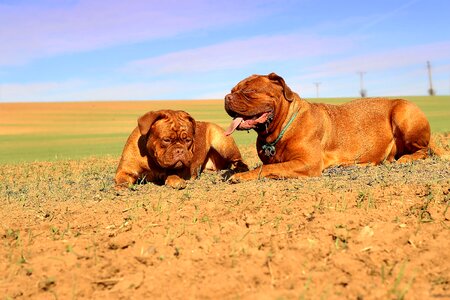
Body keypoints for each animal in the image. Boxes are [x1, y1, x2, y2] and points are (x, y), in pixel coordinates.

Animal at [115, 109, 250, 189]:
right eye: (166, 140)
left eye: (188, 140)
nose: (180, 150)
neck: (152, 158)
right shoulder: (124, 170)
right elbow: (122, 179)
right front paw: (122, 188)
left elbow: (172, 174)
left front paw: (176, 181)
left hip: (223, 141)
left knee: (238, 159)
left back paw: (240, 169)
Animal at [225, 72, 432, 180]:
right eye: (232, 90)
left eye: (250, 91)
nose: (227, 97)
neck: (281, 127)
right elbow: (266, 165)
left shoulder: (307, 163)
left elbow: (266, 169)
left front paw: (241, 176)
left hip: (404, 113)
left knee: (424, 150)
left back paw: (406, 158)